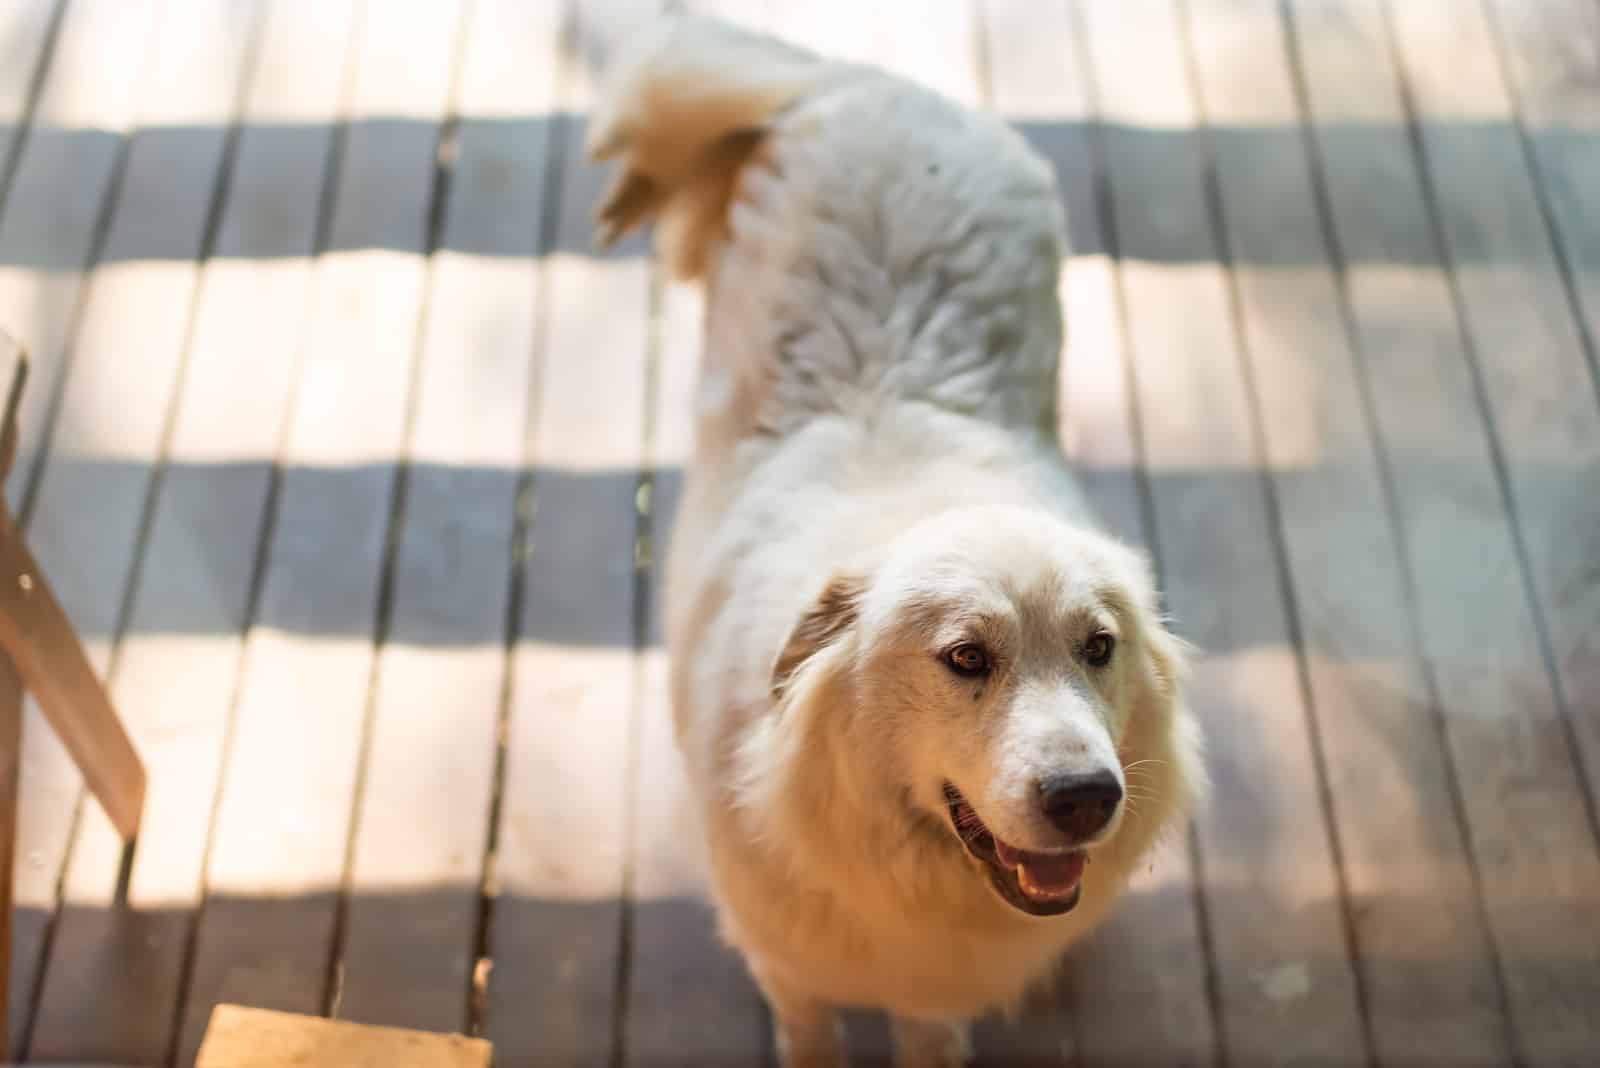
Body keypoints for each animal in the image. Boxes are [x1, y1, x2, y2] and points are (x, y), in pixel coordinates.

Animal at [595, 16, 1203, 1068]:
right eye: (965, 658)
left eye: (1099, 648)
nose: (1087, 798)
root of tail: (870, 87)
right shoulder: (791, 970)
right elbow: (812, 1039)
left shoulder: (934, 991)